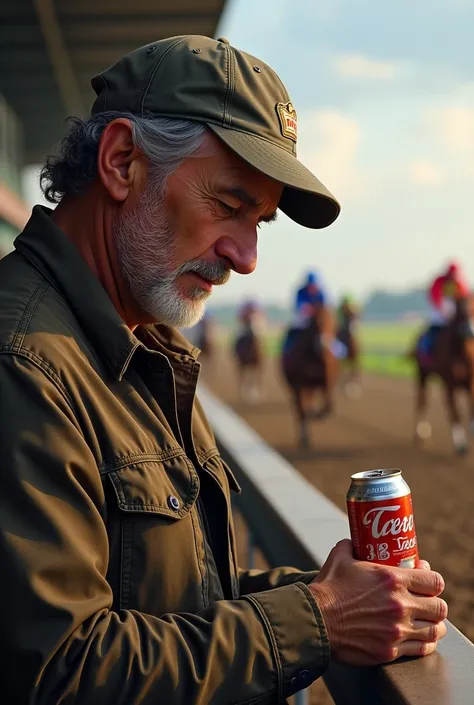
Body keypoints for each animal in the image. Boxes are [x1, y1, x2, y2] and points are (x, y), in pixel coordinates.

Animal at [282, 302, 336, 446]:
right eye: (314, 323)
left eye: (333, 322)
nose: (323, 347)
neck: (315, 357)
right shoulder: (298, 384)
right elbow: (302, 411)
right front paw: (304, 437)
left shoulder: (327, 381)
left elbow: (328, 406)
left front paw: (317, 414)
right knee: (299, 408)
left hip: (311, 387)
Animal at [412, 294, 474, 454]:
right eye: (461, 312)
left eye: (473, 308)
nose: (470, 331)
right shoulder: (450, 382)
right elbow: (455, 413)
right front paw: (460, 444)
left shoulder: (470, 380)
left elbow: (470, 405)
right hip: (422, 373)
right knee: (422, 400)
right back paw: (421, 434)